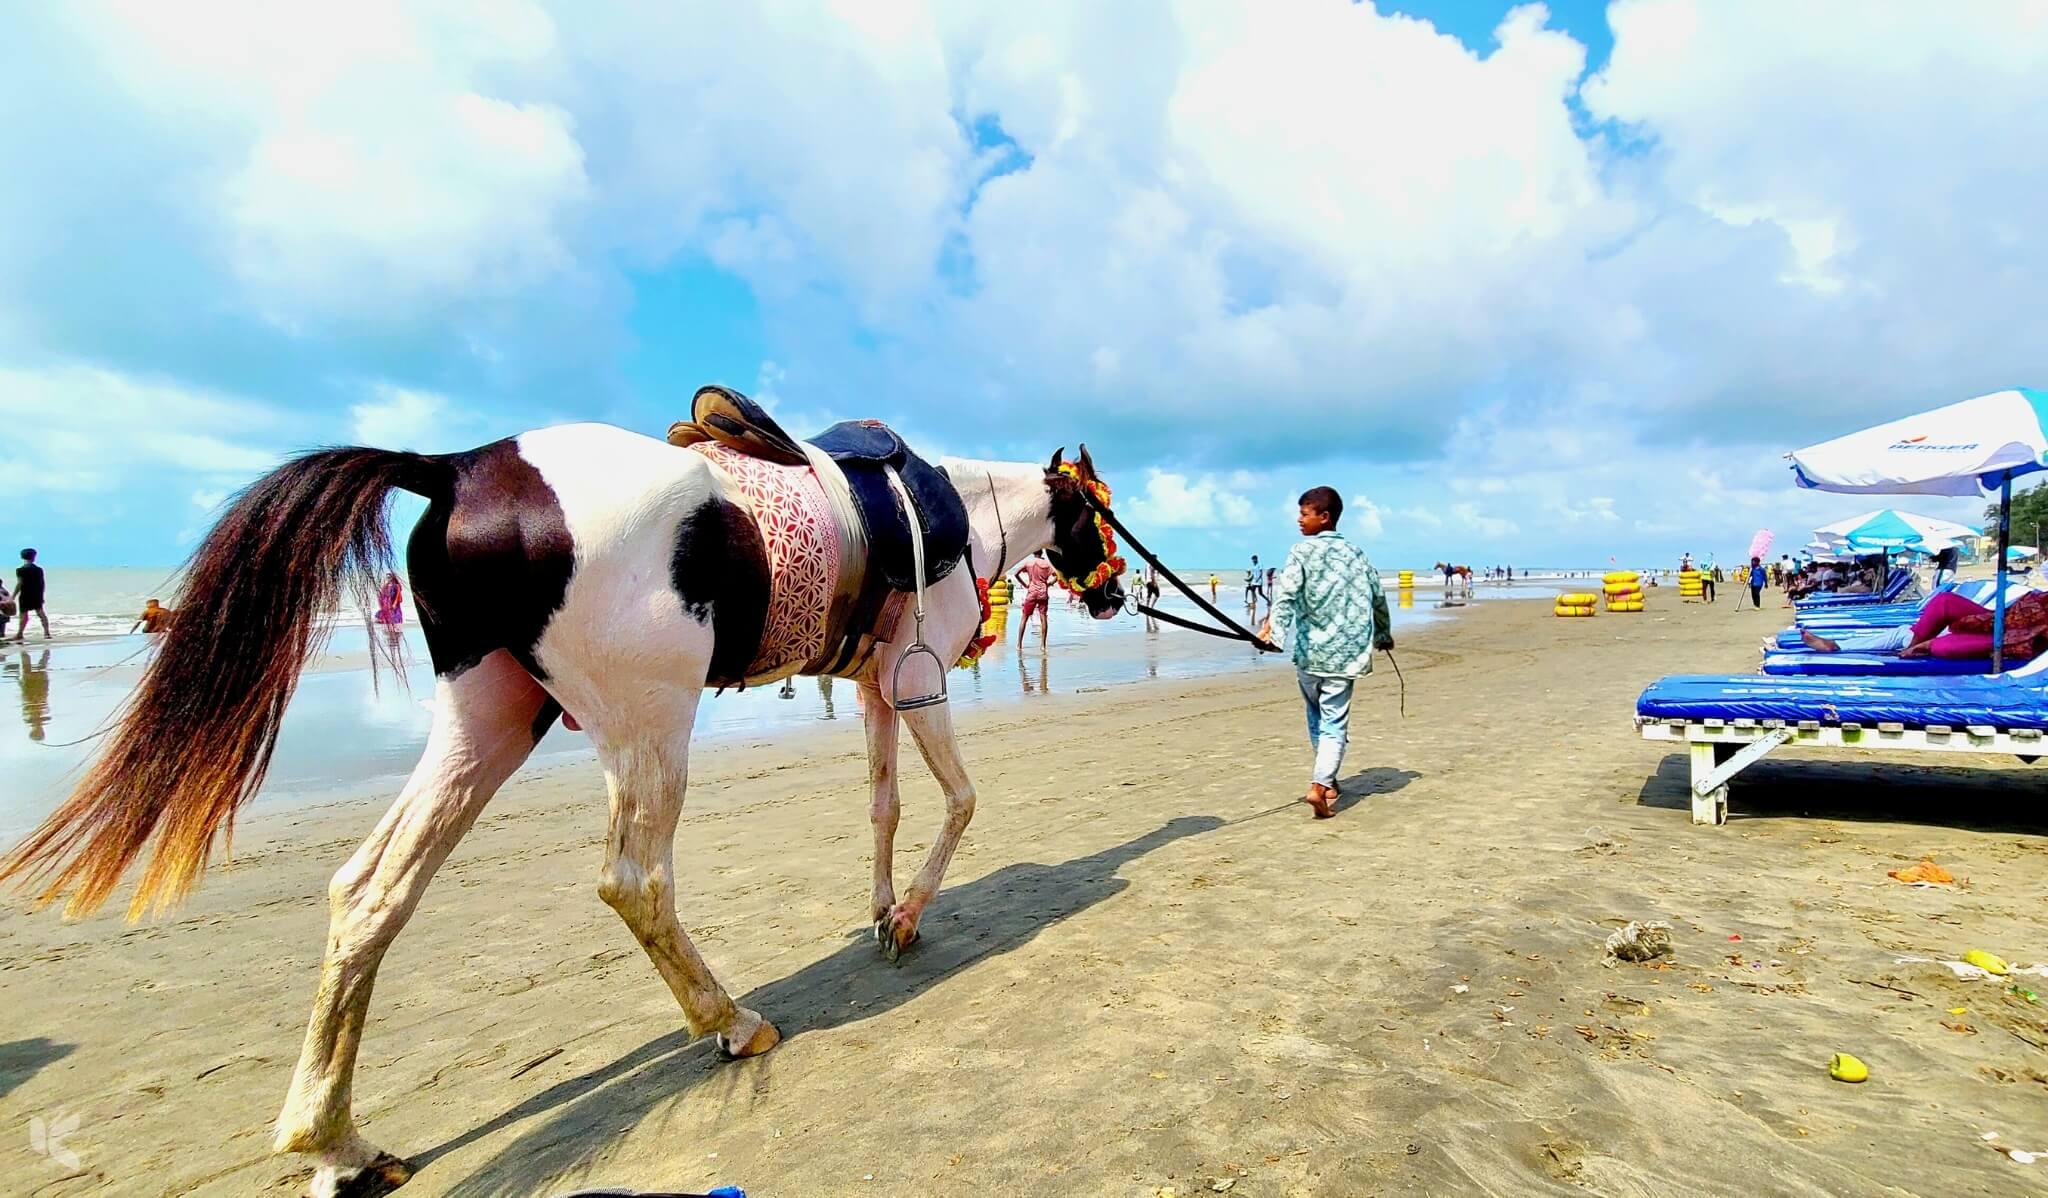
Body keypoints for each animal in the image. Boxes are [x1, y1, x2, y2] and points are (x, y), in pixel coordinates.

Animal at [0, 419, 1128, 1198]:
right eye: (1098, 510)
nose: (1118, 592)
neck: (954, 512)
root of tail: (456, 464)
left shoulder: (876, 687)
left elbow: (886, 808)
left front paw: (889, 912)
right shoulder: (917, 682)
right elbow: (959, 801)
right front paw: (906, 913)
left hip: (488, 720)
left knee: (370, 892)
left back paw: (338, 1142)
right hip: (645, 723)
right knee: (633, 881)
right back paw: (729, 1022)